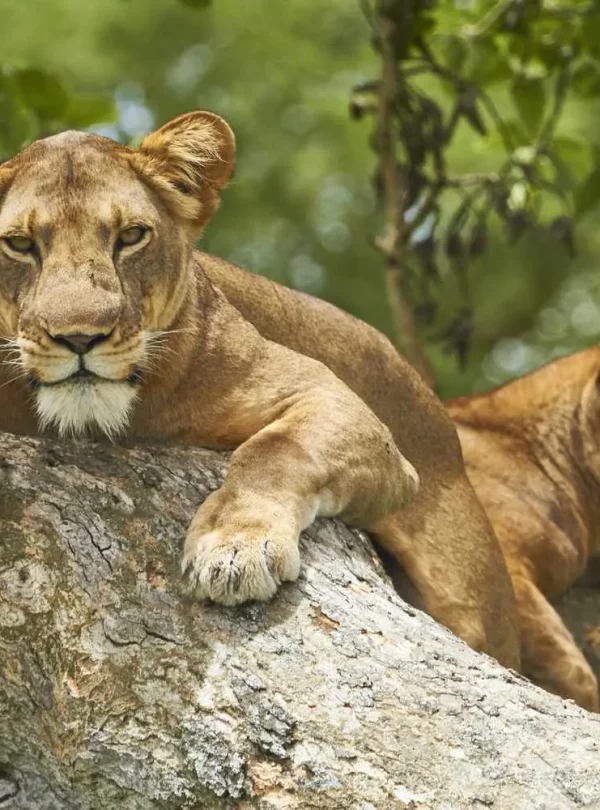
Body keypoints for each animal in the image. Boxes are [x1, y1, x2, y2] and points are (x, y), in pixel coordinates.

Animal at [0, 111, 519, 670]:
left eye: (131, 236)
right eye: (20, 245)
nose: (80, 337)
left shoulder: (331, 398)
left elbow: (274, 449)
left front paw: (235, 548)